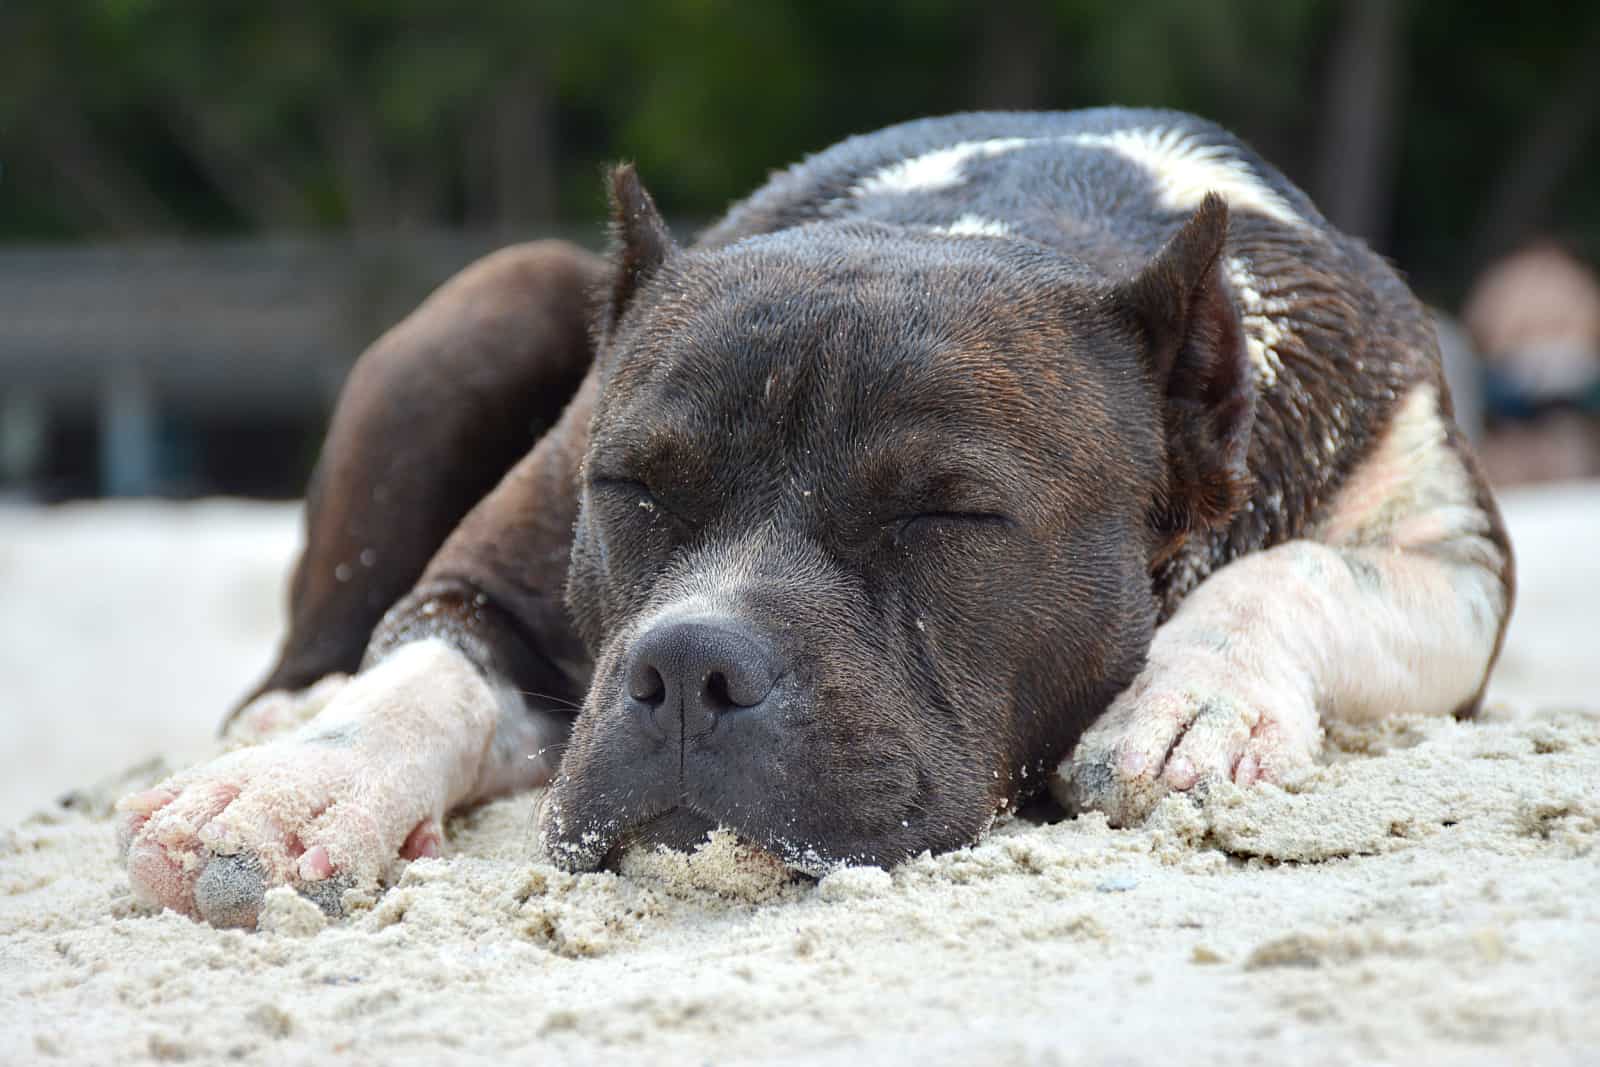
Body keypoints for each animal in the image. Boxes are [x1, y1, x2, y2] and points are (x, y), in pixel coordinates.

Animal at [118, 108, 1504, 927]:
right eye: (631, 488)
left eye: (946, 513)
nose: (687, 665)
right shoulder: (491, 581)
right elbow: (424, 668)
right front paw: (291, 788)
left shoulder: (1457, 556)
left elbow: (1299, 572)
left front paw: (1190, 699)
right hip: (495, 295)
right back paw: (284, 718)